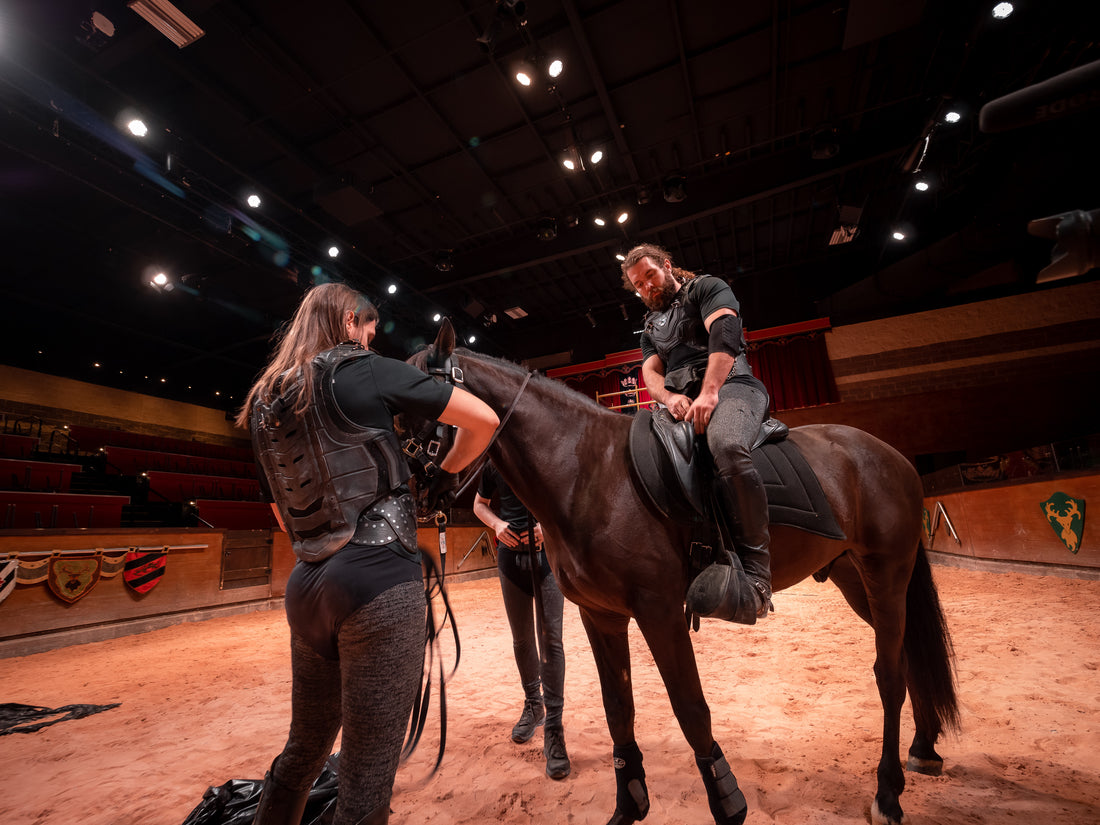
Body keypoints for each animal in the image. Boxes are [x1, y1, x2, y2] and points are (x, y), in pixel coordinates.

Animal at [405, 322, 959, 825]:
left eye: (420, 407)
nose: (409, 499)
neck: (588, 472)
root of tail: (890, 455)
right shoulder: (599, 616)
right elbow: (618, 710)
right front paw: (629, 805)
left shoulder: (660, 612)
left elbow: (690, 706)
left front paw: (727, 802)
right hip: (856, 580)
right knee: (908, 658)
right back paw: (923, 748)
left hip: (886, 573)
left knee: (889, 674)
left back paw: (889, 793)